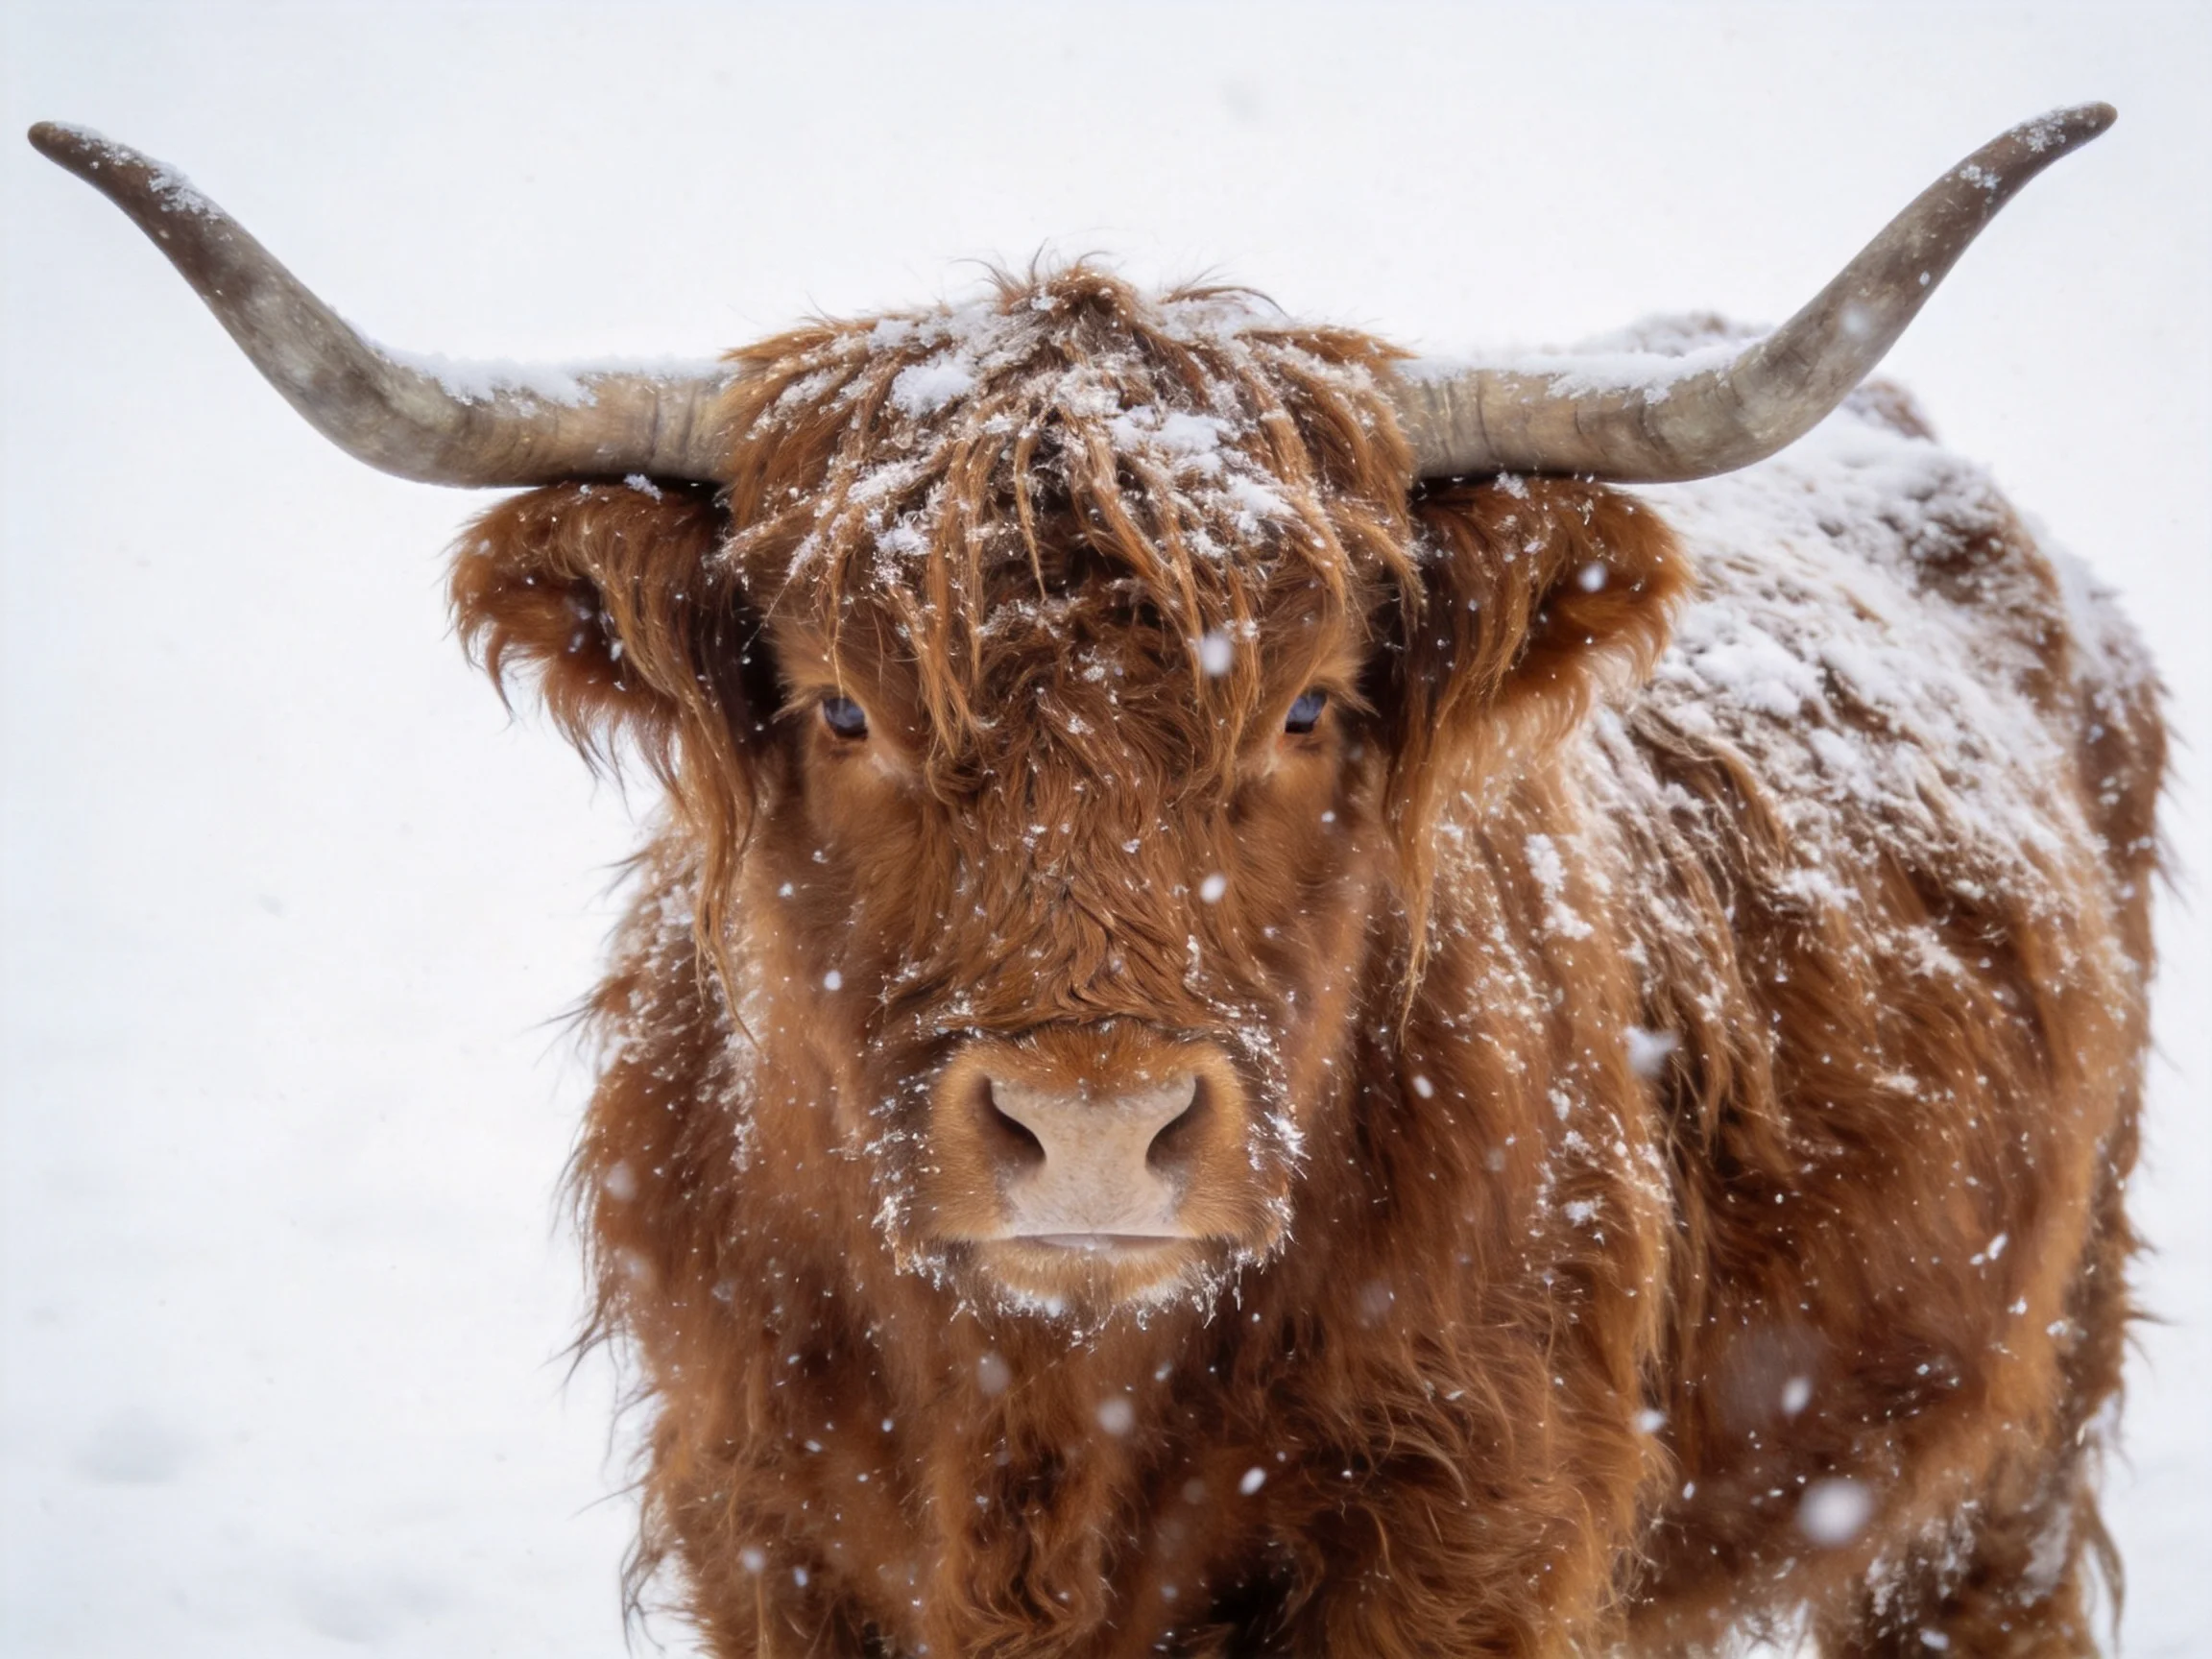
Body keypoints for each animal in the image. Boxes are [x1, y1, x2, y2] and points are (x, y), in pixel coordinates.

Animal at [31, 105, 2160, 1657]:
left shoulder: (1461, 1544)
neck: (1046, 1425)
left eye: (1307, 704)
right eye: (841, 706)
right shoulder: (772, 1539)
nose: (1090, 1127)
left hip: (2005, 1445)